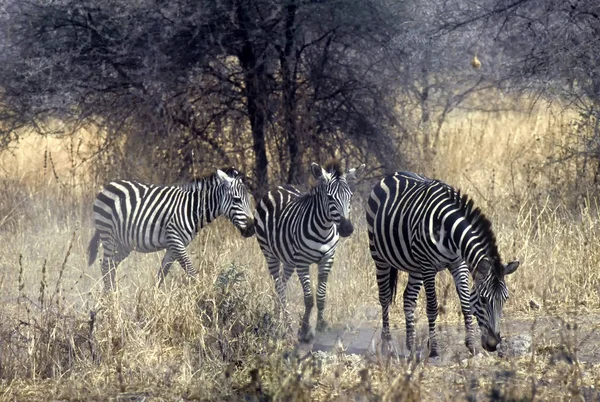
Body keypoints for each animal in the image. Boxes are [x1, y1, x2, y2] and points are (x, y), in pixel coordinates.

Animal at [88, 168, 254, 290]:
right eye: (237, 200)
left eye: (249, 200)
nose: (252, 229)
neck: (191, 209)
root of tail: (109, 185)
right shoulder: (175, 240)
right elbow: (191, 272)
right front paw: (202, 296)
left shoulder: (173, 246)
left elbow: (162, 273)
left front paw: (154, 298)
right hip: (108, 234)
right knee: (106, 266)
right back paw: (110, 300)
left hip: (124, 243)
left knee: (112, 266)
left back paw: (113, 295)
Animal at [254, 160, 364, 340]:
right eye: (329, 197)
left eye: (350, 197)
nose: (347, 229)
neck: (324, 229)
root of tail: (278, 187)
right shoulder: (302, 263)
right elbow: (308, 298)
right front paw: (304, 330)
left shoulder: (327, 259)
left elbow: (320, 296)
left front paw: (321, 325)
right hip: (269, 254)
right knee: (279, 286)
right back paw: (285, 325)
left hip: (289, 260)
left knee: (282, 283)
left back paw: (278, 316)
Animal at [366, 171, 520, 356]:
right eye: (483, 299)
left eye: (505, 299)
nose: (492, 345)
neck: (449, 230)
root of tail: (392, 174)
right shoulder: (428, 267)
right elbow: (432, 307)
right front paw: (434, 348)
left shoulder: (459, 265)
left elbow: (466, 304)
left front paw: (471, 345)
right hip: (379, 256)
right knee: (384, 297)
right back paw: (387, 343)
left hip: (415, 266)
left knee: (408, 298)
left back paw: (411, 344)